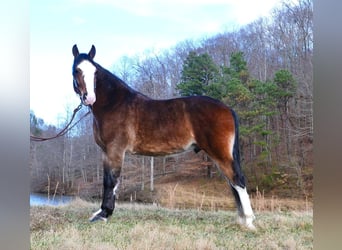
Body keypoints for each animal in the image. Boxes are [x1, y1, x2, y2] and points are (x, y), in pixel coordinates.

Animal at [71, 44, 254, 229]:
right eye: (76, 70)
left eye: (95, 72)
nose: (89, 98)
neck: (115, 104)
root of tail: (227, 108)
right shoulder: (106, 152)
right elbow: (107, 181)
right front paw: (101, 212)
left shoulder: (114, 150)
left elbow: (110, 182)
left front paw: (104, 214)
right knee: (232, 183)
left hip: (220, 153)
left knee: (237, 180)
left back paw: (248, 221)